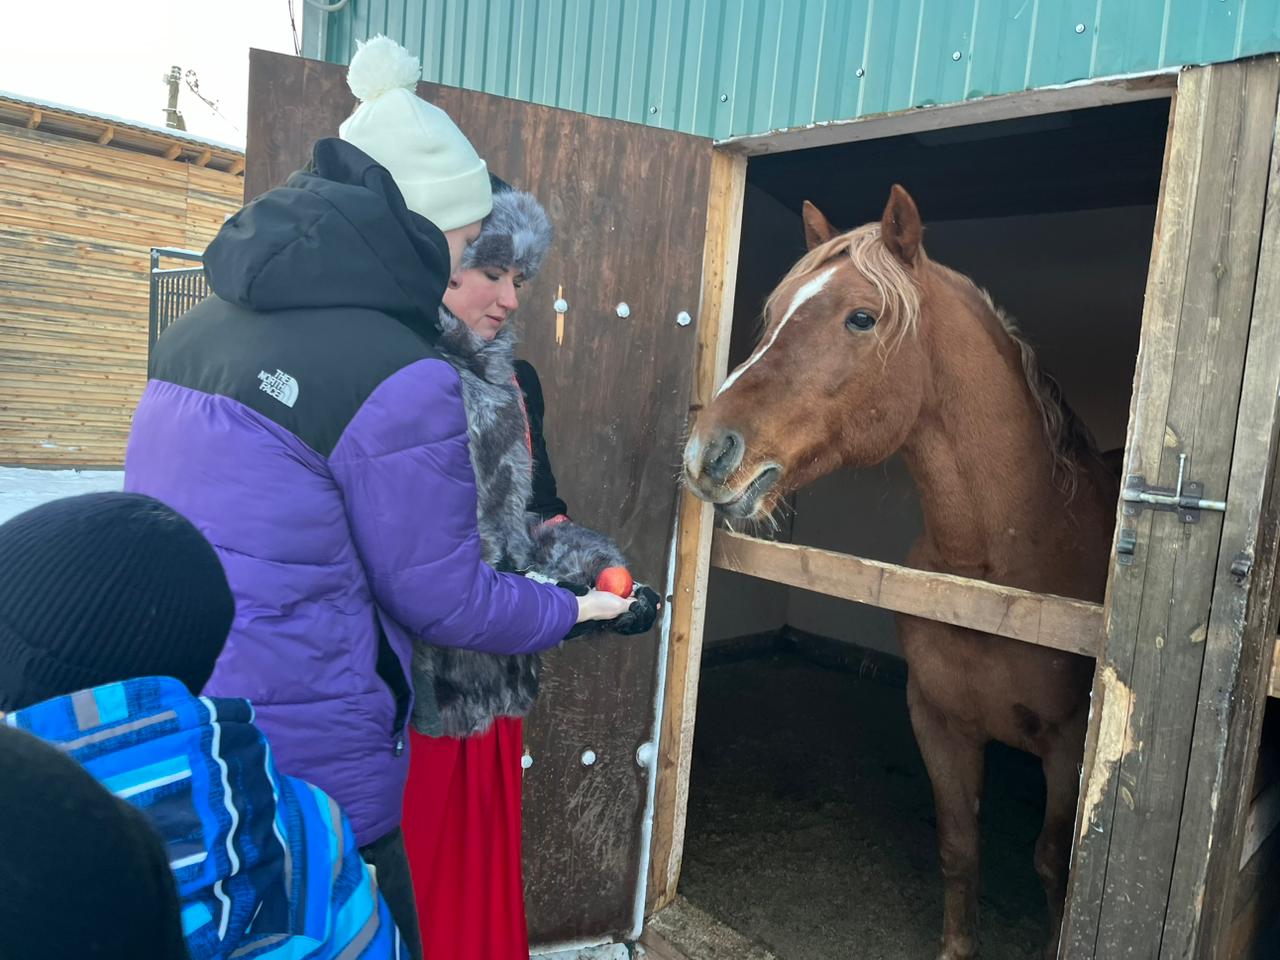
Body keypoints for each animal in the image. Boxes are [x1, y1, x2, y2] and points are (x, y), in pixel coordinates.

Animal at [682, 185, 1117, 960]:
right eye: (774, 310)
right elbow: (959, 849)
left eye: (862, 317)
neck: (990, 578)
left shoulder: (1070, 747)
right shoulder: (937, 721)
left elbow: (1051, 867)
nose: (707, 451)